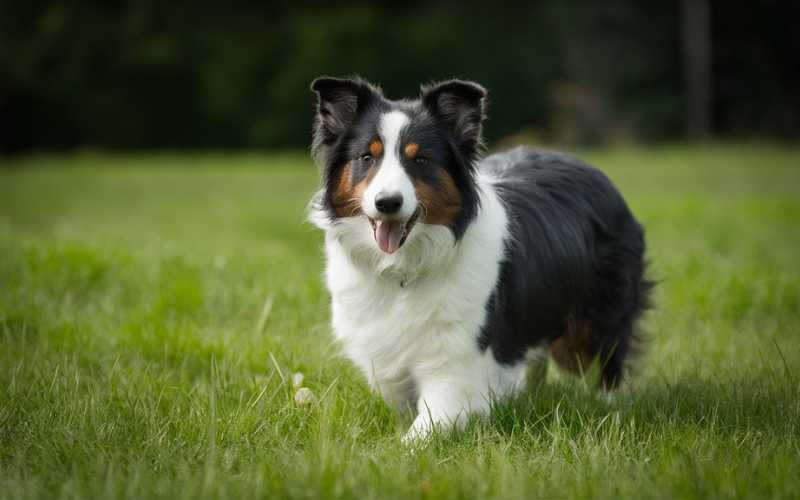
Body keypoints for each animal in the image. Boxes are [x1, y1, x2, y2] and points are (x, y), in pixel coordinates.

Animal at [306, 77, 648, 442]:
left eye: (420, 160)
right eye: (367, 157)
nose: (387, 203)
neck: (404, 267)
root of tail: (585, 164)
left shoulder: (455, 372)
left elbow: (418, 433)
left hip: (605, 308)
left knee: (611, 354)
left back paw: (610, 406)